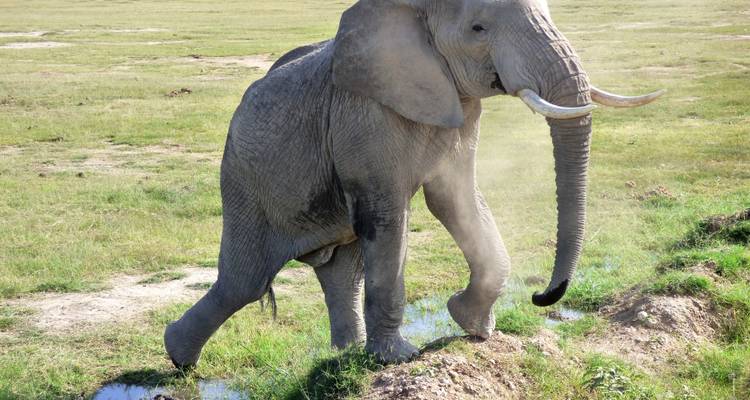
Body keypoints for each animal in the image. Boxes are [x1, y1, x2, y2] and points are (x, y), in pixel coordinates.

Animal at [164, 0, 663, 366]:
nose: (543, 295)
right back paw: (179, 359)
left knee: (340, 271)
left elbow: (455, 199)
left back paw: (345, 355)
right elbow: (389, 216)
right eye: (478, 29)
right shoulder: (364, 115)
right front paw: (398, 359)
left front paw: (474, 327)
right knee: (244, 281)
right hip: (244, 176)